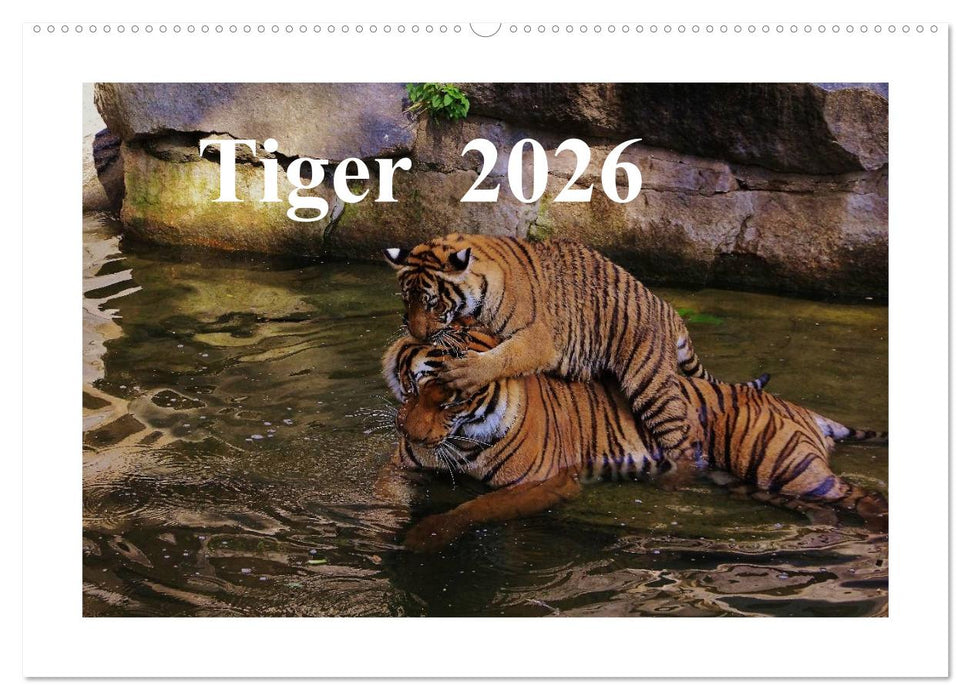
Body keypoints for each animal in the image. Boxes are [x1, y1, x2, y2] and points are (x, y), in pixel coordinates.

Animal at [380, 320, 888, 551]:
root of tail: (800, 408)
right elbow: (382, 496)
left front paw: (424, 535)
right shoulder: (402, 466)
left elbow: (478, 506)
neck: (463, 437)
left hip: (787, 466)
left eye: (451, 401)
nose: (409, 432)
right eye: (412, 386)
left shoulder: (547, 483)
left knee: (860, 496)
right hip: (754, 485)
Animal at [384, 234, 727, 484]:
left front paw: (466, 372)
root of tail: (669, 310)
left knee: (685, 438)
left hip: (651, 386)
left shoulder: (537, 339)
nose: (418, 335)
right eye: (407, 301)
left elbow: (503, 357)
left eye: (433, 303)